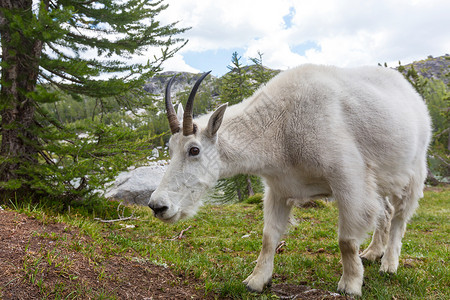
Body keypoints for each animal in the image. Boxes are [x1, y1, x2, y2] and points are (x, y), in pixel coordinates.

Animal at [149, 64, 432, 296]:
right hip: (380, 180)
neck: (279, 126)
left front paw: (350, 285)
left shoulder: (349, 180)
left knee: (399, 217)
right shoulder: (279, 189)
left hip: (414, 170)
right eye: (170, 149)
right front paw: (256, 281)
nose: (157, 206)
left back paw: (389, 264)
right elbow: (269, 237)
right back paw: (373, 252)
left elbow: (346, 241)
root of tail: (413, 95)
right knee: (386, 211)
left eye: (194, 150)